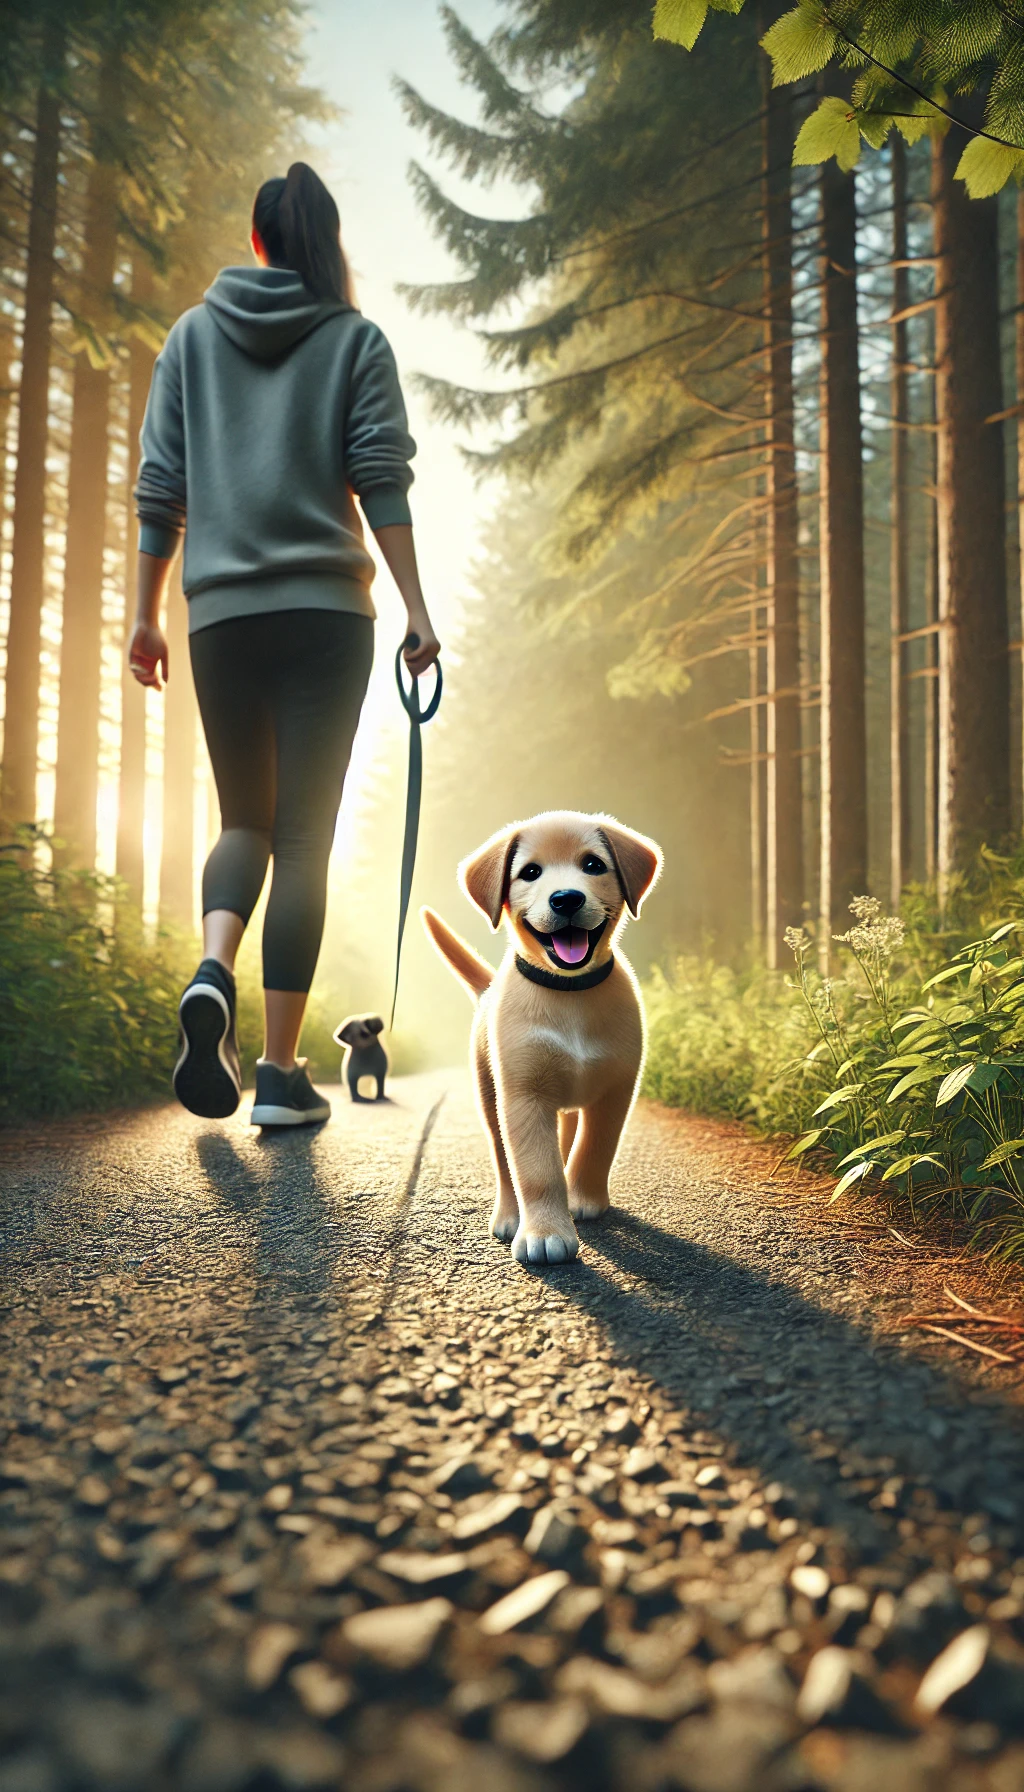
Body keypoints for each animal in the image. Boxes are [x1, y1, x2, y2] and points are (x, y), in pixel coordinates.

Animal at [421, 806, 659, 1268]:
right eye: (530, 872)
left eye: (593, 865)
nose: (566, 898)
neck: (570, 993)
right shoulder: (524, 1095)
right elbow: (536, 1170)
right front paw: (546, 1232)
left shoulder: (616, 1088)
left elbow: (596, 1147)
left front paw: (583, 1198)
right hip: (490, 1096)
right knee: (503, 1160)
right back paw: (511, 1216)